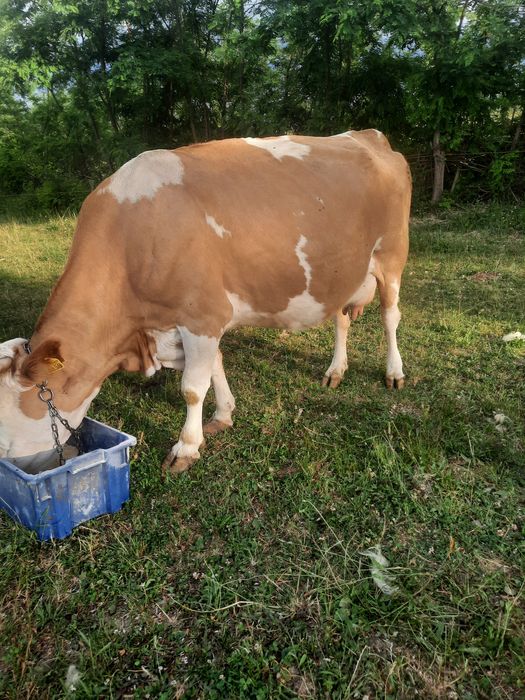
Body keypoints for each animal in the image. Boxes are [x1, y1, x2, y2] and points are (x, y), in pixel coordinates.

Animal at [0, 130, 410, 474]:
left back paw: (394, 372)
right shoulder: (195, 319)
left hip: (392, 256)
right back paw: (335, 370)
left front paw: (186, 447)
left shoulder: (202, 316)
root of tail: (367, 135)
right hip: (342, 273)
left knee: (390, 317)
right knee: (342, 318)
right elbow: (215, 366)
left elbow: (192, 387)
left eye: (3, 436)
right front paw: (223, 415)